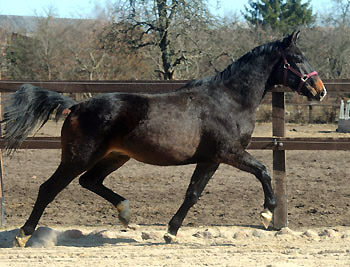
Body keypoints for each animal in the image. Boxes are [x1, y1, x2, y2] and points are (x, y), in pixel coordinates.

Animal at [1, 30, 326, 247]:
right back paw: (23, 236)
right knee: (49, 188)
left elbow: (192, 194)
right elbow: (264, 171)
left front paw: (171, 232)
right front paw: (267, 214)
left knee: (90, 181)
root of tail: (76, 106)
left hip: (115, 156)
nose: (320, 90)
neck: (229, 100)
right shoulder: (229, 153)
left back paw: (126, 214)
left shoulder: (210, 160)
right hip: (78, 156)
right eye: (296, 58)